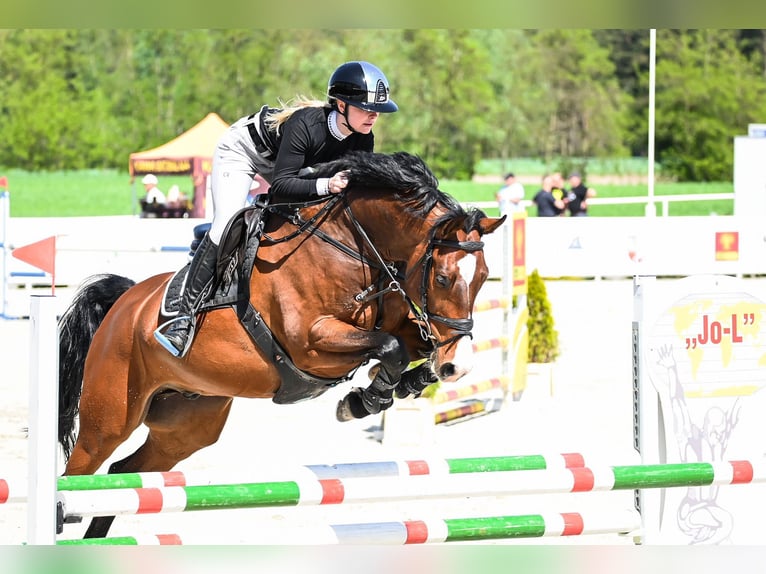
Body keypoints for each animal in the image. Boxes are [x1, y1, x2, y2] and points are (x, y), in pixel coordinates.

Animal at [57, 151, 505, 538]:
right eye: (444, 278)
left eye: (484, 277)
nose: (458, 366)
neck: (352, 245)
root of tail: (125, 303)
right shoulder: (311, 343)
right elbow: (391, 347)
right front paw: (363, 401)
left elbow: (408, 344)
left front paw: (404, 384)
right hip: (109, 418)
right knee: (77, 476)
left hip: (186, 425)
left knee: (122, 477)